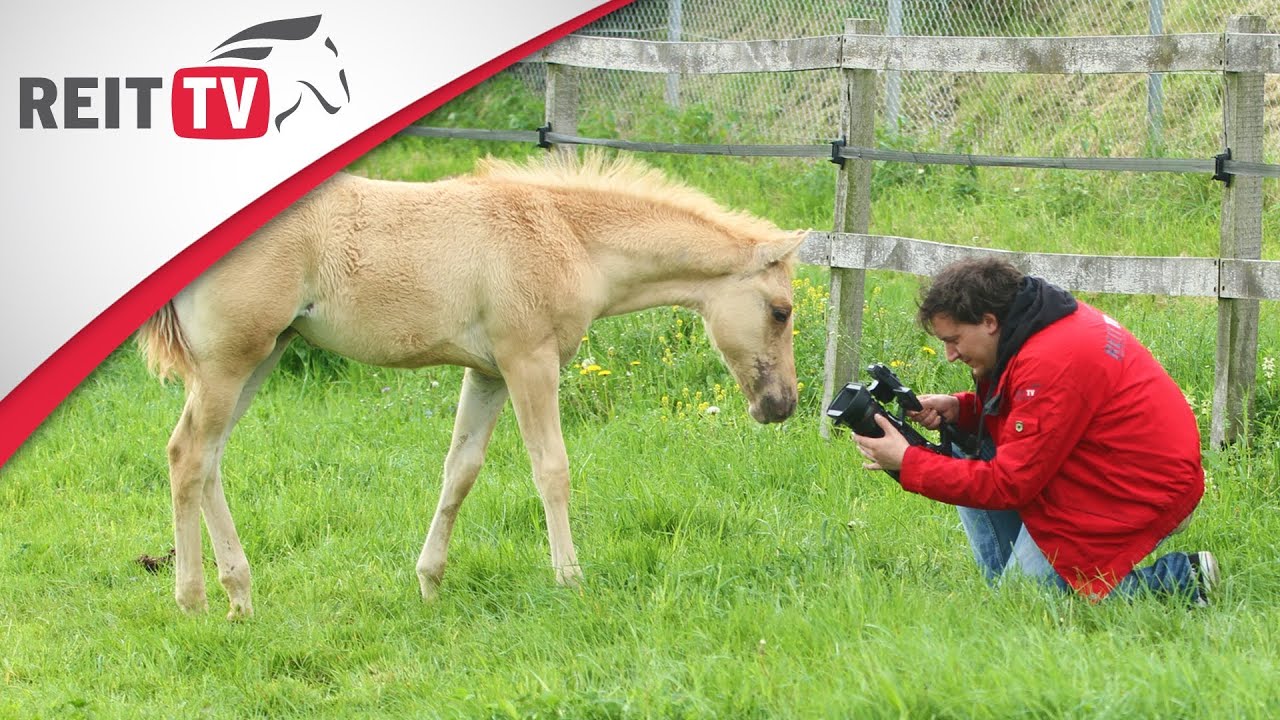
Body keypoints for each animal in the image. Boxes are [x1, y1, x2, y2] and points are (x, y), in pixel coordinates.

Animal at [137, 152, 804, 619]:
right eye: (782, 311)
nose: (782, 406)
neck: (567, 236)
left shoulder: (486, 373)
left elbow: (459, 471)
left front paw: (429, 582)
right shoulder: (529, 361)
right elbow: (551, 469)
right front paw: (570, 579)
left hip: (260, 357)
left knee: (206, 459)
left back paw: (239, 596)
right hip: (232, 362)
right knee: (189, 456)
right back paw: (195, 600)